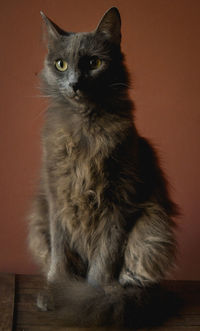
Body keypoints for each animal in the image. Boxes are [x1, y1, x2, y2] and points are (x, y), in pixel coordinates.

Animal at [27, 7, 178, 330]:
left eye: (93, 63)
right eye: (61, 64)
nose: (74, 83)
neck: (85, 129)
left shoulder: (120, 199)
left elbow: (105, 257)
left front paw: (93, 296)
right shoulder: (56, 198)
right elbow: (60, 253)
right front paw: (58, 290)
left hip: (152, 225)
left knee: (136, 270)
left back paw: (122, 293)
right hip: (38, 217)